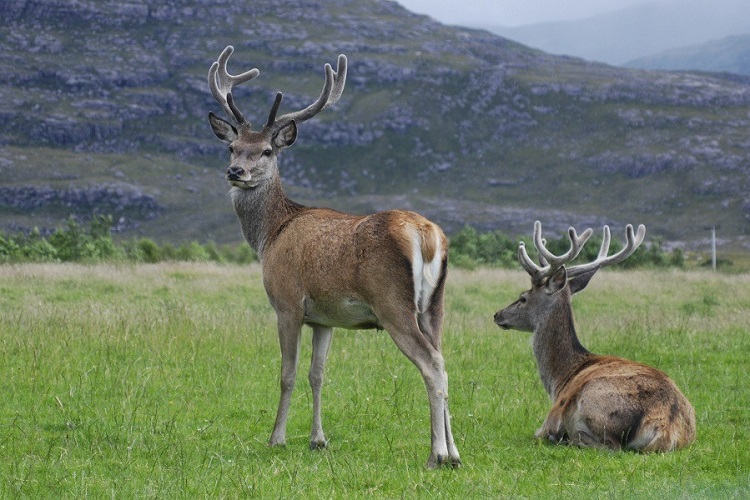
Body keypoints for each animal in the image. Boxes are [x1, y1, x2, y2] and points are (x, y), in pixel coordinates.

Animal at [209, 47, 462, 468]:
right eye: (232, 147)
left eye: (266, 150)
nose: (236, 171)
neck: (270, 234)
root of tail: (427, 236)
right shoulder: (324, 319)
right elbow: (318, 374)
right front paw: (318, 440)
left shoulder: (287, 303)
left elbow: (287, 374)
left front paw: (276, 438)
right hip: (435, 304)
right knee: (444, 359)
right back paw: (455, 453)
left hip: (392, 302)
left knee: (432, 365)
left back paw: (436, 454)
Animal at [494, 221, 700, 452]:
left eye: (523, 298)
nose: (498, 314)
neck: (560, 378)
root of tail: (665, 427)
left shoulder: (551, 416)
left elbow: (538, 432)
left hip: (595, 400)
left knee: (608, 445)